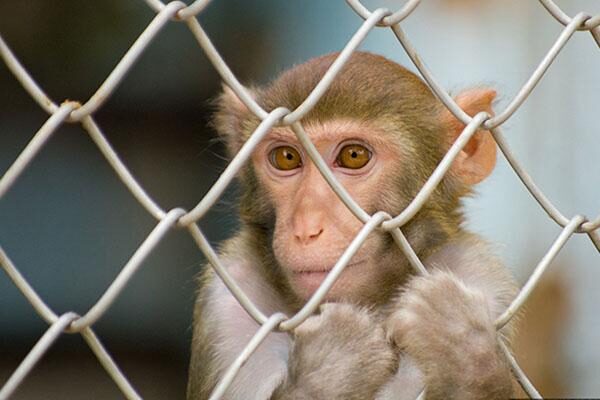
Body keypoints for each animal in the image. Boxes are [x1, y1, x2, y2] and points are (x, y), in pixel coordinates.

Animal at [189, 50, 520, 400]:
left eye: (353, 155)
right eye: (286, 158)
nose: (306, 227)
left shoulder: (478, 271)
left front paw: (463, 350)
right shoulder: (225, 303)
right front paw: (330, 367)